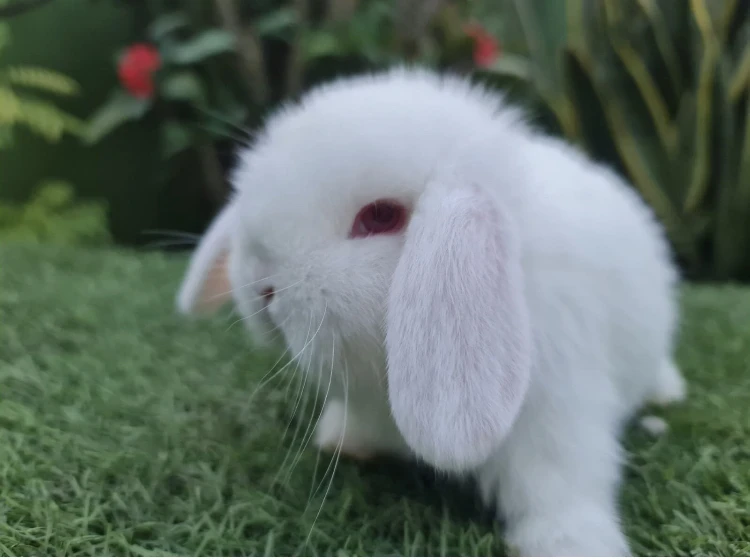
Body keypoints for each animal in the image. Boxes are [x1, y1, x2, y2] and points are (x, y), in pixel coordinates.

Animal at [175, 67, 687, 557]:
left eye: (380, 216)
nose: (262, 288)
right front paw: (342, 439)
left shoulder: (557, 413)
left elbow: (559, 489)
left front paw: (571, 545)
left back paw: (668, 392)